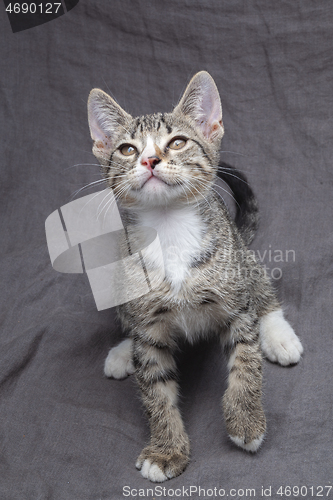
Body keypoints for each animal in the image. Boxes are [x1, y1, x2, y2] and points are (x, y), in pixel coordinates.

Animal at [86, 72, 304, 482]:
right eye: (126, 149)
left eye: (177, 142)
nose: (149, 159)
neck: (169, 231)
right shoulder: (149, 331)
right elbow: (155, 390)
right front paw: (166, 450)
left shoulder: (236, 307)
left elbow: (245, 363)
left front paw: (246, 421)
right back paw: (123, 352)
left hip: (244, 256)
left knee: (262, 295)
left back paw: (278, 335)